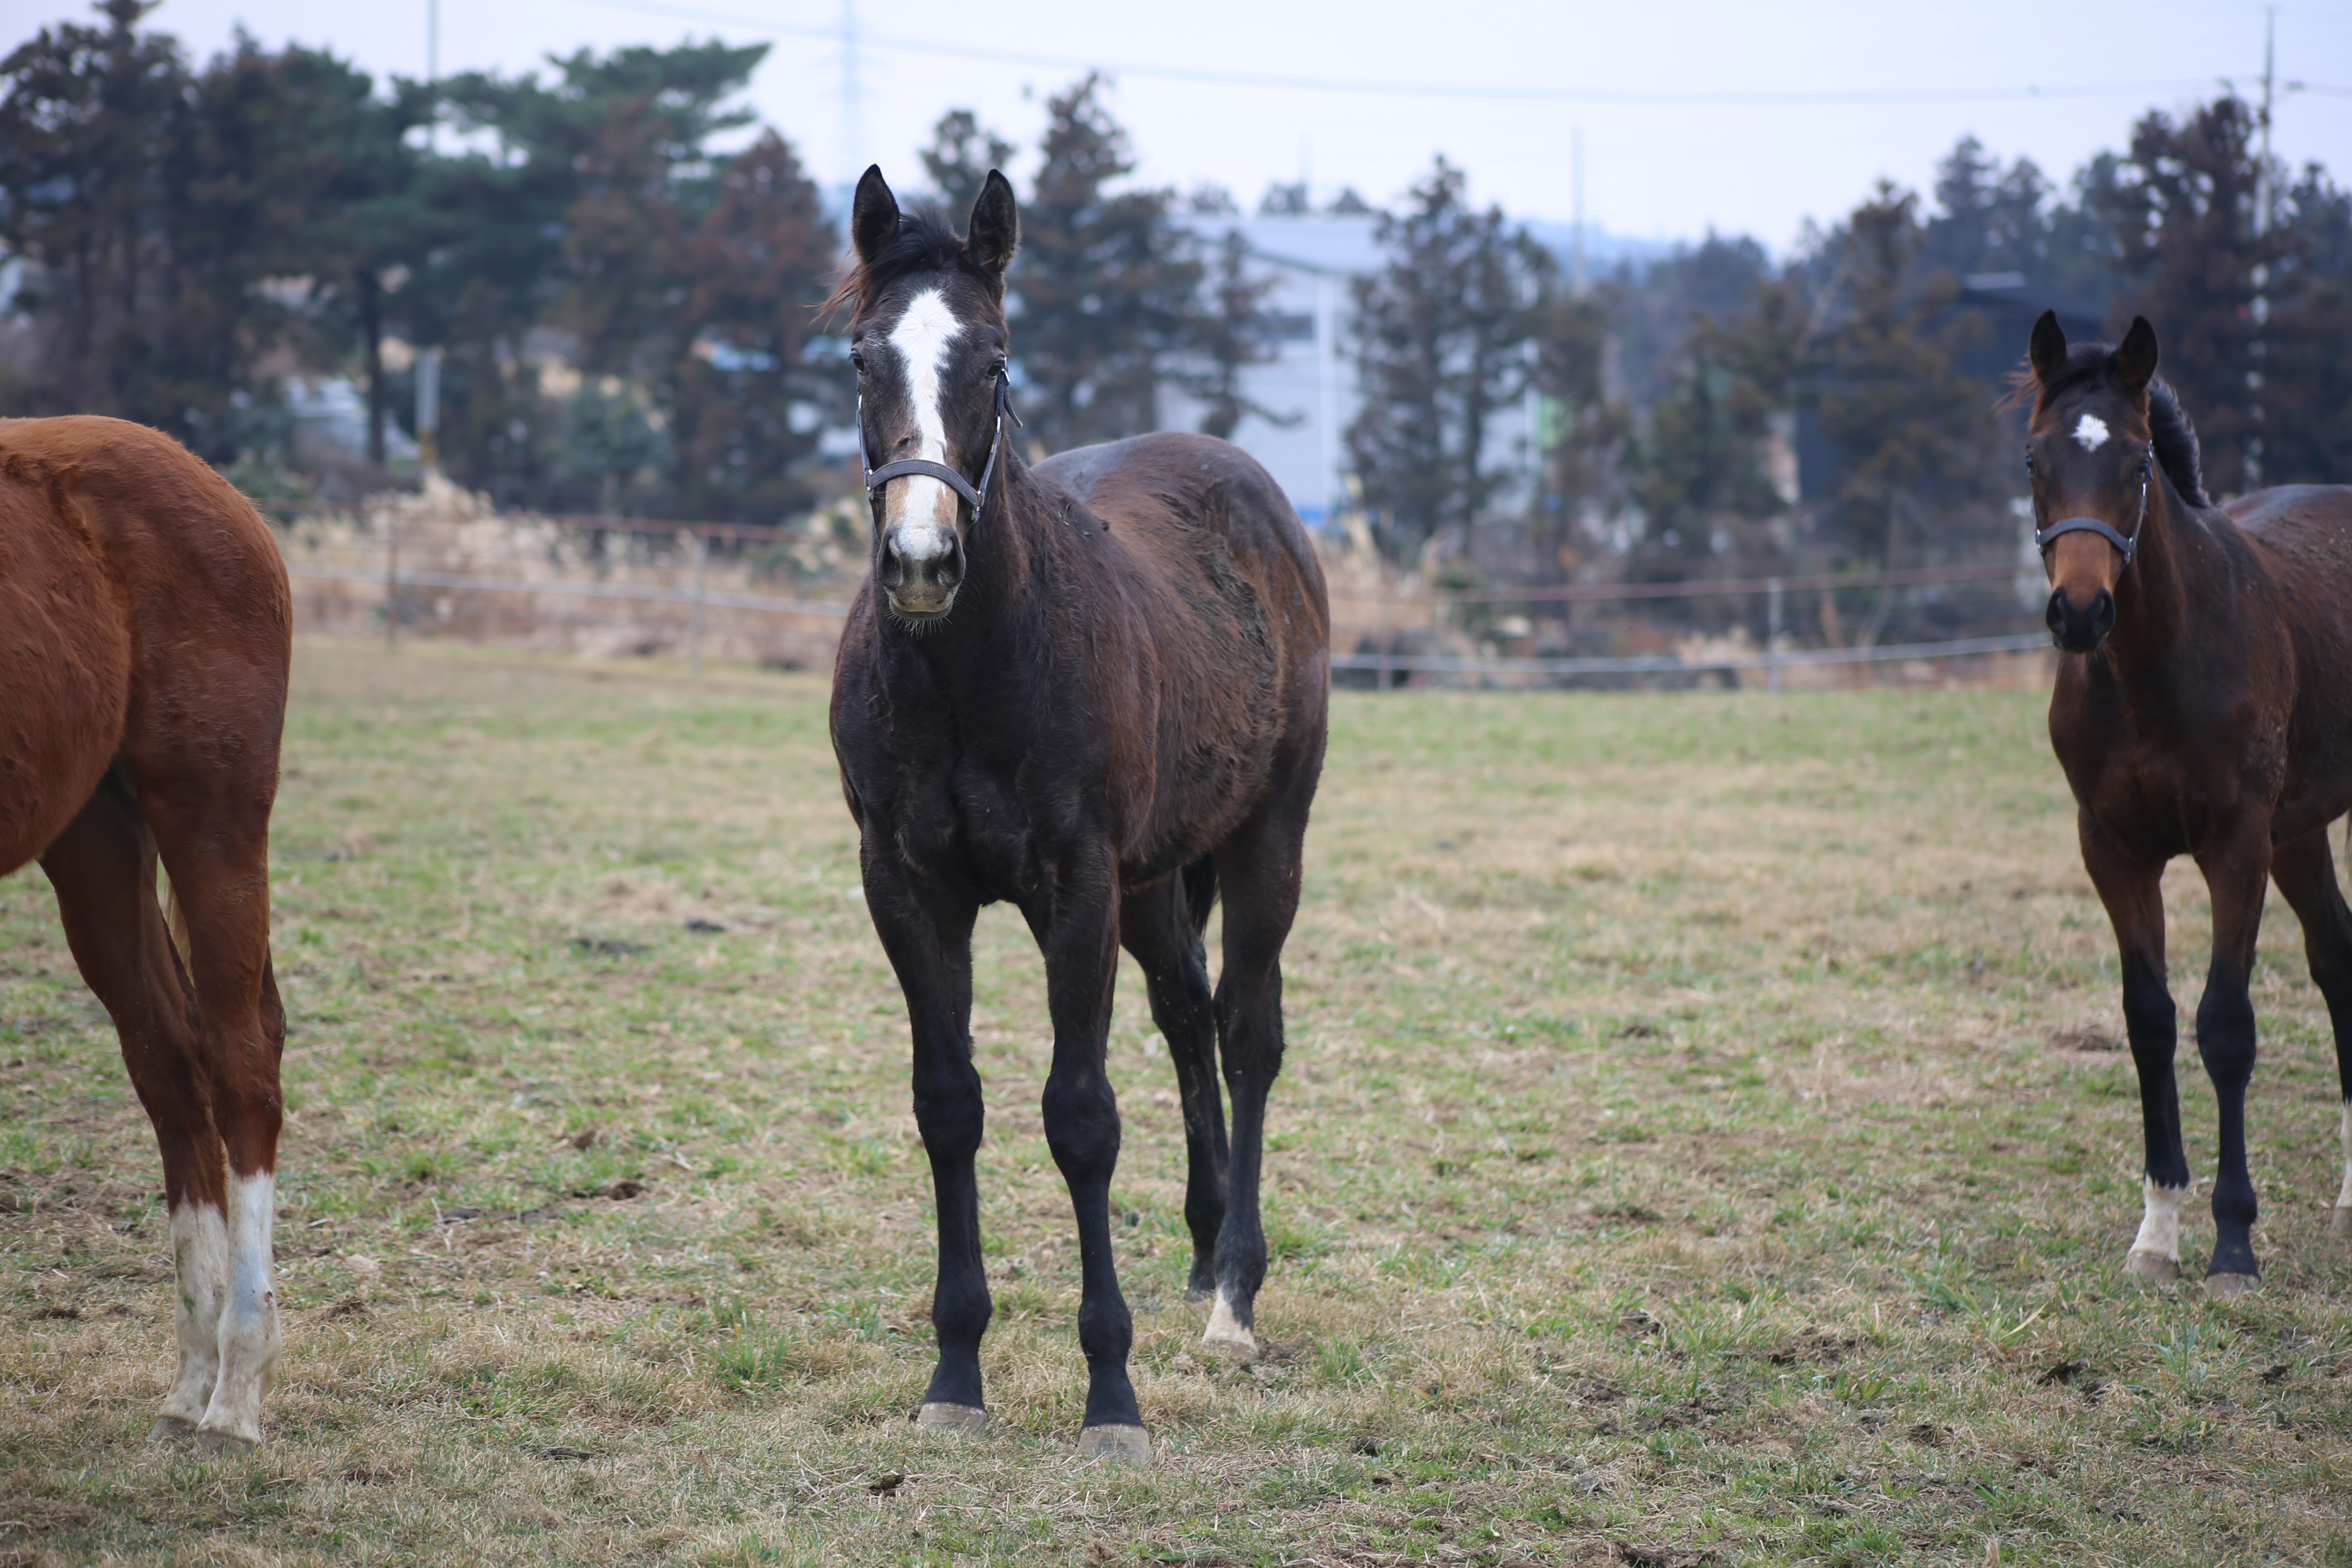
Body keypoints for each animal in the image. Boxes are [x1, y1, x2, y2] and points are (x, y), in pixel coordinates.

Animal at [2, 414, 294, 1448]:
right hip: (94, 834)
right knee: (171, 1061)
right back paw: (193, 1375)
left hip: (211, 821)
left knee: (241, 1059)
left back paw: (237, 1389)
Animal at [833, 172, 1336, 1457]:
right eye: (862, 359)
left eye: (994, 361)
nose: (920, 560)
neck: (970, 673)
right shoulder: (905, 888)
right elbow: (949, 1106)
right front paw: (955, 1371)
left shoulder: (1076, 886)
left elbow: (1080, 1117)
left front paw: (1111, 1390)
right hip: (1156, 881)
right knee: (1188, 1018)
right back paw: (1204, 1256)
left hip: (1266, 838)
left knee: (1248, 1032)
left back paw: (1236, 1297)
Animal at [2022, 312, 2352, 1297]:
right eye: (2034, 459)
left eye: (2137, 463)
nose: (2079, 613)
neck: (2154, 668)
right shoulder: (2113, 849)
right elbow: (2152, 1019)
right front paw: (2158, 1232)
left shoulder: (2234, 847)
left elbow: (2226, 1026)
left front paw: (2234, 1243)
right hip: (2301, 832)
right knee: (2339, 960)